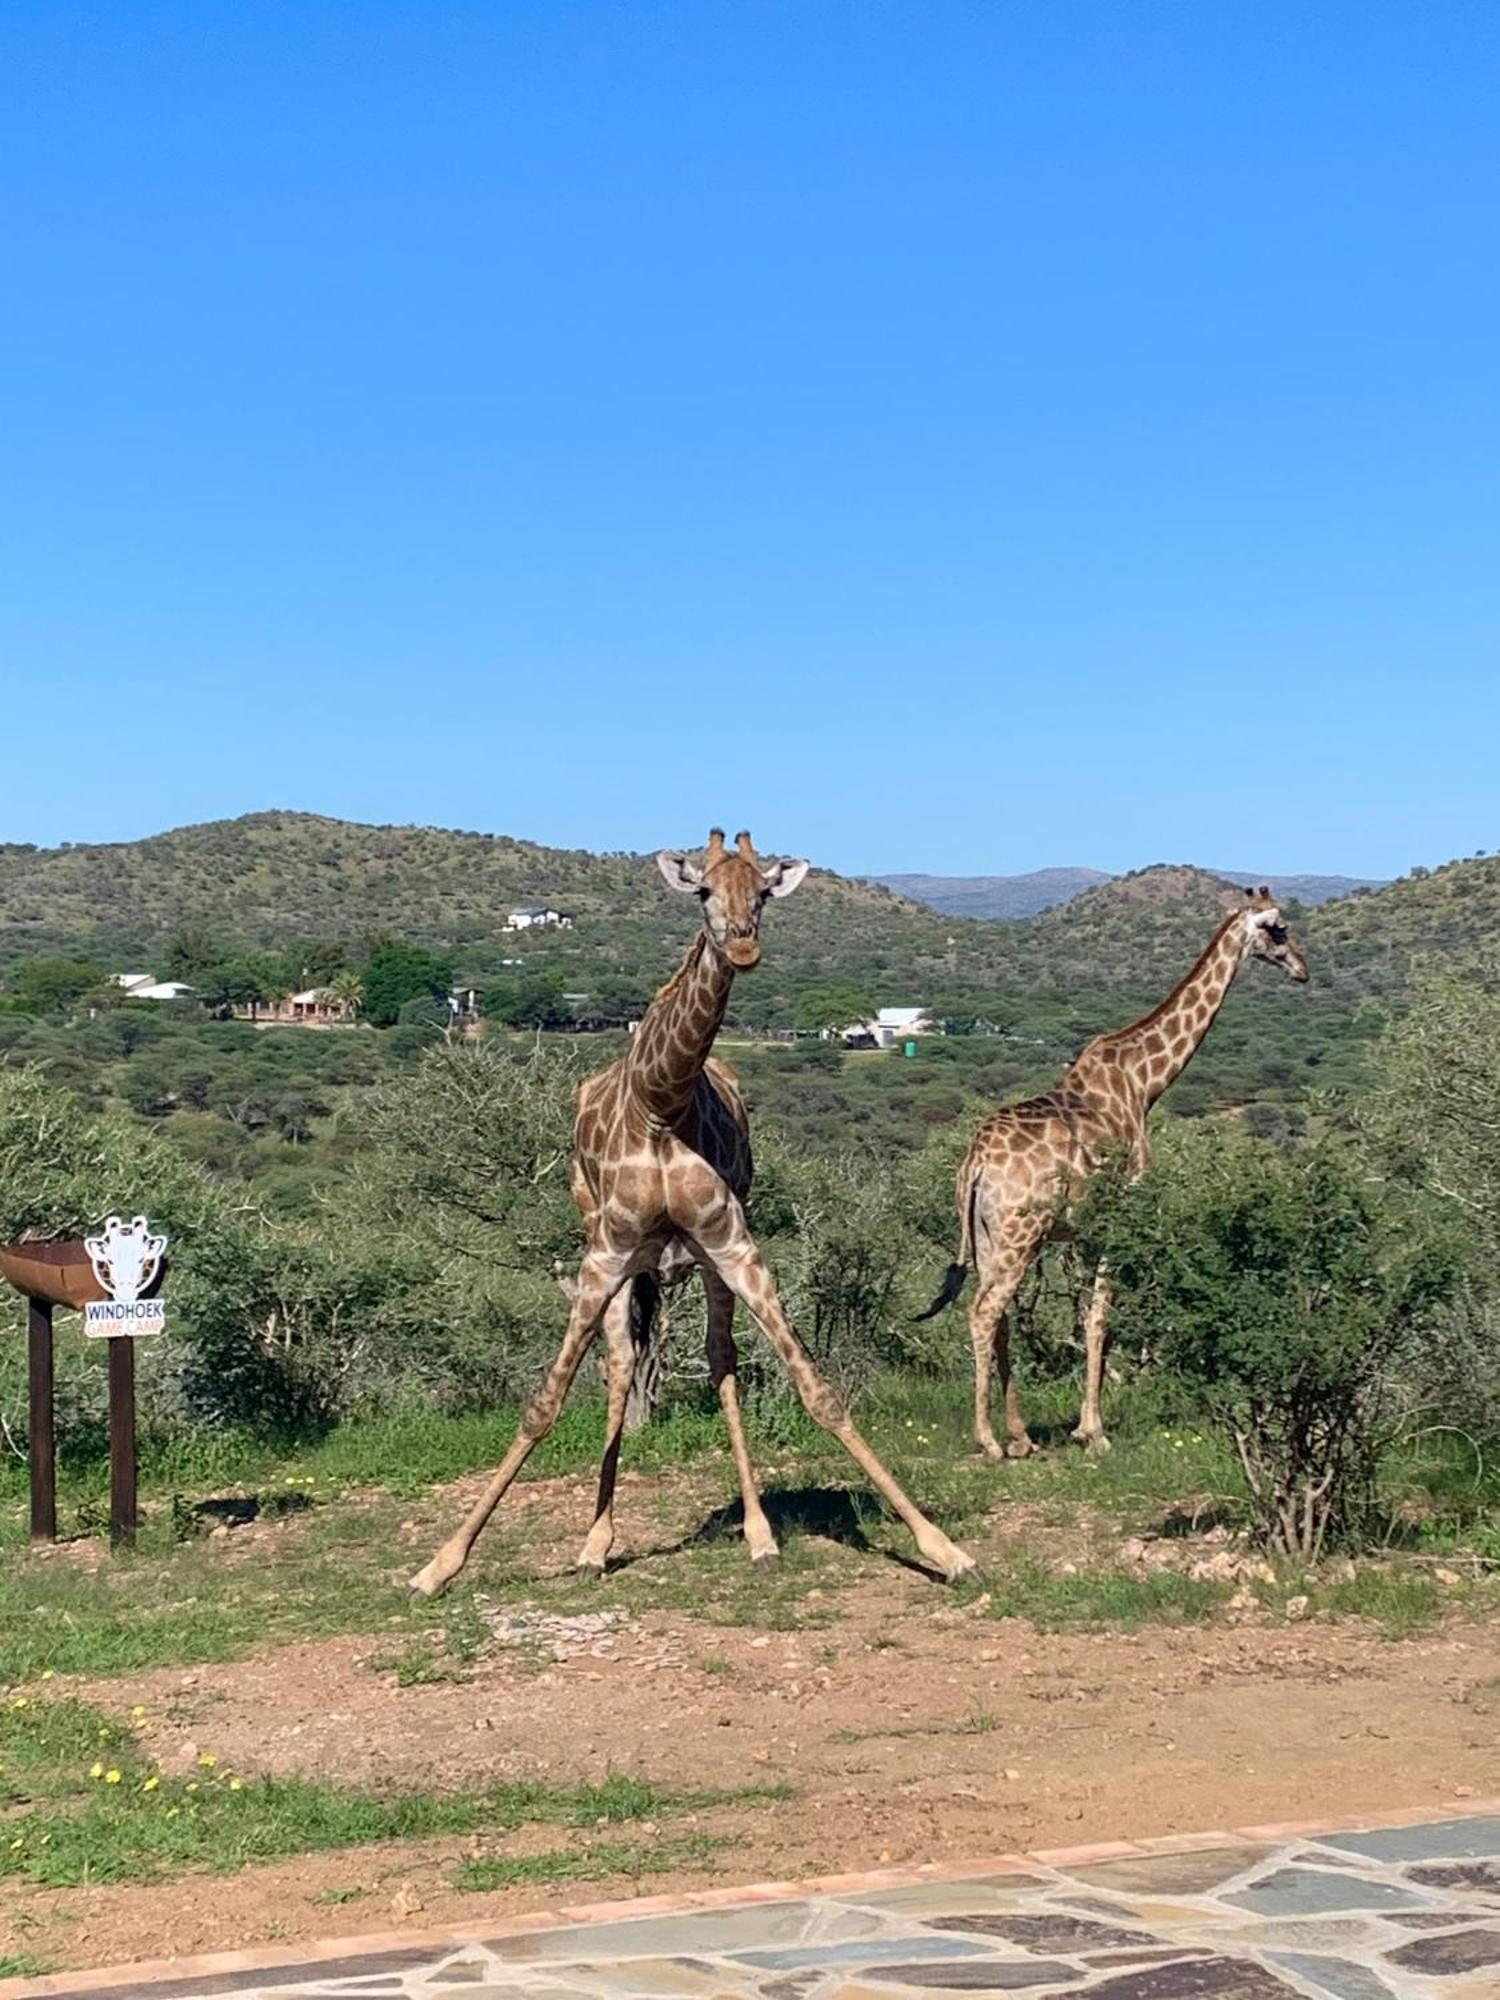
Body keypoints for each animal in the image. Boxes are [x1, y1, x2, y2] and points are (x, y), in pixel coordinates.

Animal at [412, 828, 976, 1592]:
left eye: (764, 892)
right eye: (703, 890)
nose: (742, 946)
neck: (661, 1101)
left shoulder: (733, 1241)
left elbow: (817, 1391)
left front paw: (940, 1546)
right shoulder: (606, 1253)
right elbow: (542, 1406)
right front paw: (441, 1562)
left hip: (702, 1260)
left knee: (719, 1360)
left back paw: (758, 1533)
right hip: (614, 1251)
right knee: (622, 1363)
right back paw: (595, 1543)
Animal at [916, 900, 1304, 1464]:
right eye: (1278, 929)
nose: (1301, 968)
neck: (1145, 1083)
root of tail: (976, 1161)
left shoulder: (1085, 1229)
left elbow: (1089, 1316)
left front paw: (1081, 1426)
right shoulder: (1125, 1213)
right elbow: (1101, 1317)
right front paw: (1093, 1431)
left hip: (987, 1235)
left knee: (1000, 1313)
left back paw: (1020, 1436)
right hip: (1020, 1233)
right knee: (984, 1312)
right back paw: (988, 1440)